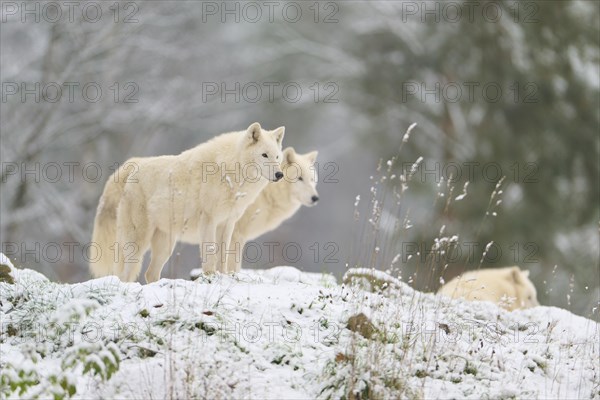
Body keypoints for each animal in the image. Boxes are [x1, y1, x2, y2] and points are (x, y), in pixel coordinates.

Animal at [89, 122, 286, 282]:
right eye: (264, 155)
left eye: (277, 157)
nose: (279, 174)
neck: (230, 172)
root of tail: (133, 165)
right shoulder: (209, 221)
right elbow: (210, 255)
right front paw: (210, 277)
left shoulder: (227, 223)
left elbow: (223, 257)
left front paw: (224, 277)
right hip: (137, 242)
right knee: (124, 275)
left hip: (165, 246)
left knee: (149, 274)